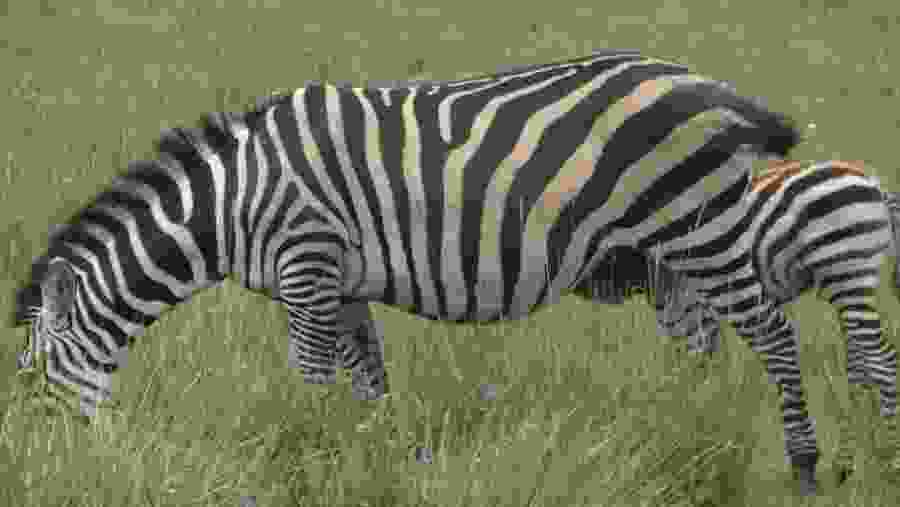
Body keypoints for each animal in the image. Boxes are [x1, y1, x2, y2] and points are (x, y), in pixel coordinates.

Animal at [9, 50, 810, 489]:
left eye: (33, 375)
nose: (50, 471)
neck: (234, 199)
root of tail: (710, 85)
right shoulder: (344, 284)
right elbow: (368, 386)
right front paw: (373, 463)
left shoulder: (306, 265)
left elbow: (311, 383)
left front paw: (306, 463)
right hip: (674, 255)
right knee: (703, 348)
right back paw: (684, 440)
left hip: (700, 232)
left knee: (774, 336)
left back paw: (800, 463)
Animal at [649, 159, 900, 483]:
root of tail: (875, 186)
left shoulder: (693, 307)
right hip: (842, 280)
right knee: (859, 364)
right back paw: (848, 463)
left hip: (845, 267)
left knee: (881, 360)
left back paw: (889, 457)